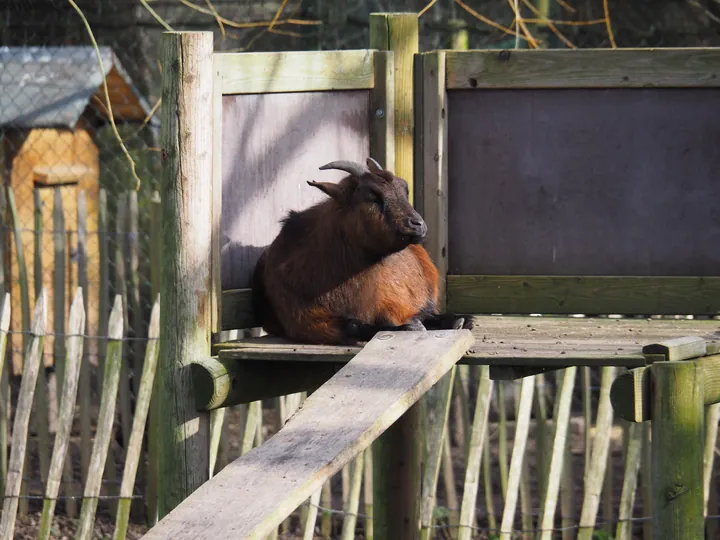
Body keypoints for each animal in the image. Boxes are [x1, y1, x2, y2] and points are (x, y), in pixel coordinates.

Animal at [250, 156, 470, 344]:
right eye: (373, 195)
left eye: (404, 189)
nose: (418, 225)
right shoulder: (304, 321)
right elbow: (353, 325)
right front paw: (408, 327)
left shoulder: (390, 304)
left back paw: (455, 319)